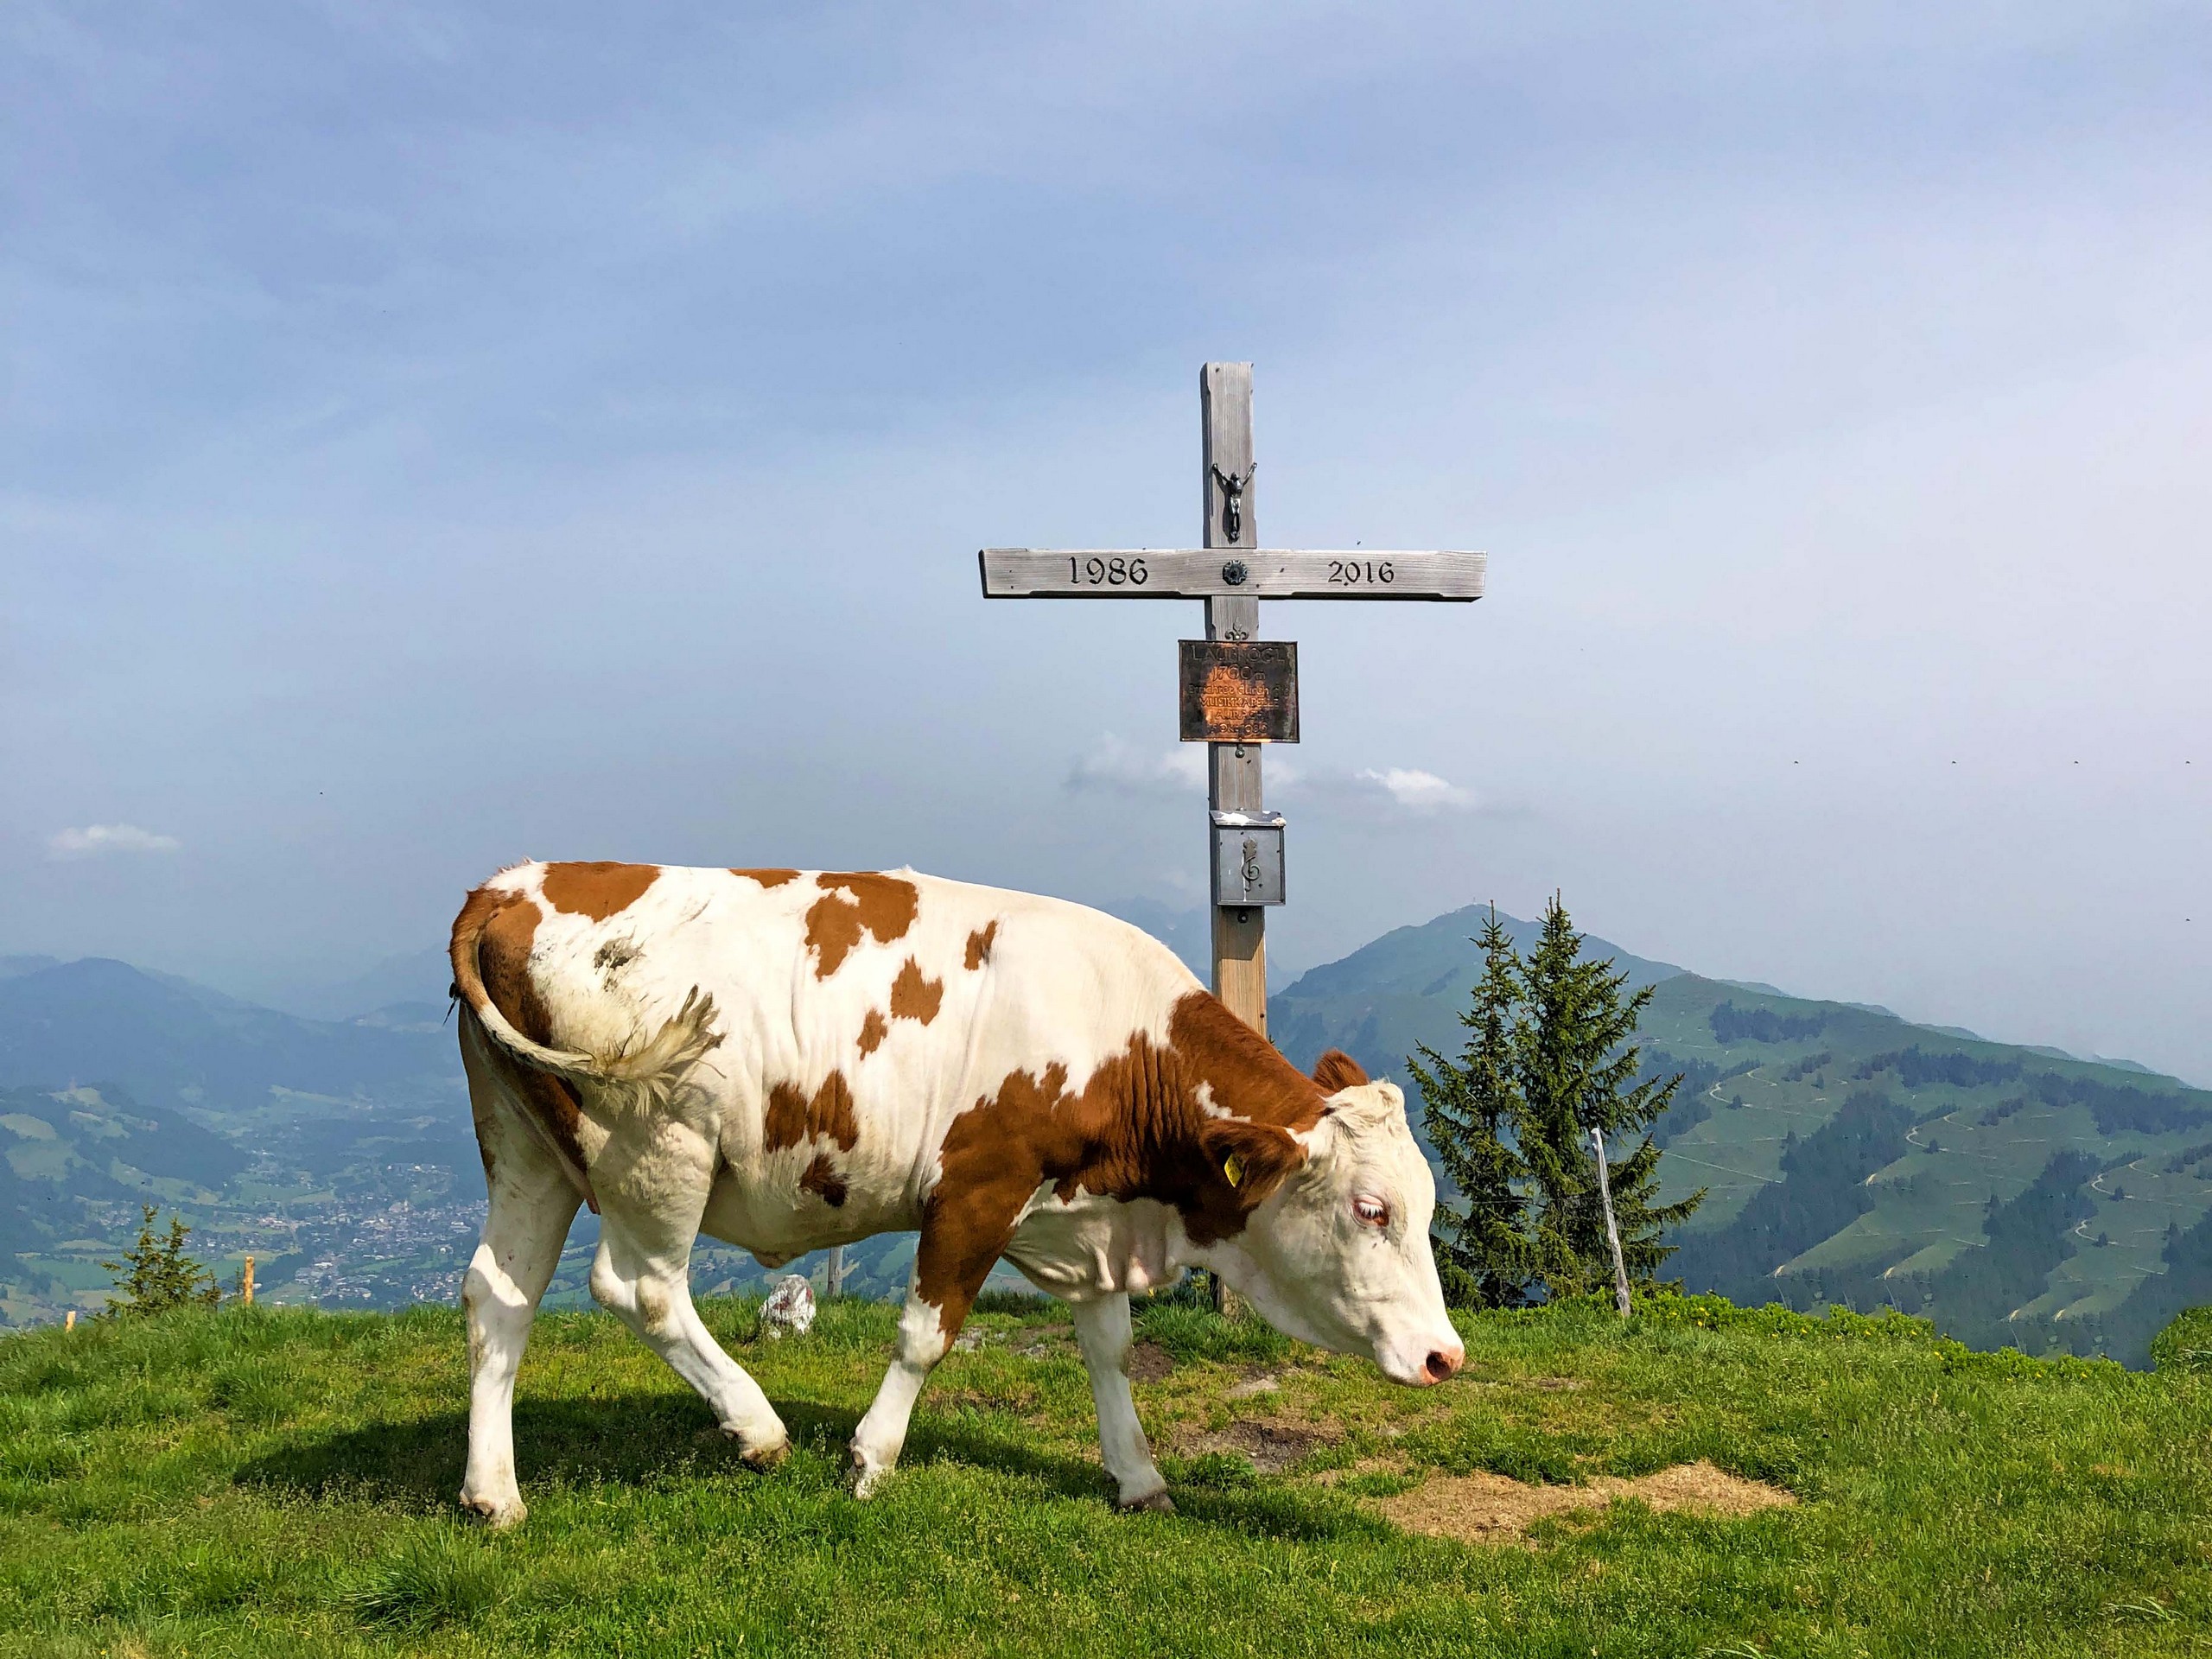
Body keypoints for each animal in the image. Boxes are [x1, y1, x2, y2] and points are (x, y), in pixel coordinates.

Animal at [444, 862, 1468, 1530]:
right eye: (1371, 1210)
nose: (1445, 1357)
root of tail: (512, 882)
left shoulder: (1083, 1216)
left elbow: (1110, 1349)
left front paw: (1137, 1475)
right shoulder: (979, 1186)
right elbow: (926, 1335)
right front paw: (871, 1460)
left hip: (526, 1146)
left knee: (500, 1292)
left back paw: (495, 1494)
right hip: (656, 1146)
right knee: (639, 1287)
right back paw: (758, 1426)